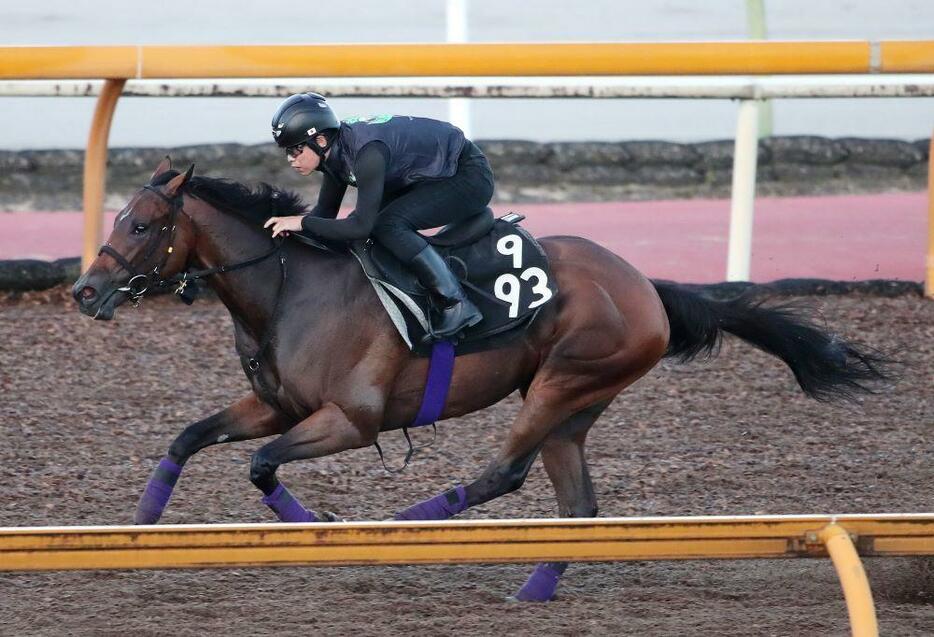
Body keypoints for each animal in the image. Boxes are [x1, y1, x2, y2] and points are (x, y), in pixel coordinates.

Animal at [73, 159, 892, 600]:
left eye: (141, 225)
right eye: (117, 219)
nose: (84, 291)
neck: (287, 287)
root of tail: (647, 286)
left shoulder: (352, 419)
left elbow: (260, 464)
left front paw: (318, 527)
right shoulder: (276, 403)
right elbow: (192, 437)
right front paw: (141, 522)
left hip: (565, 380)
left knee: (505, 473)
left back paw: (407, 524)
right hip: (575, 405)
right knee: (578, 505)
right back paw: (535, 588)